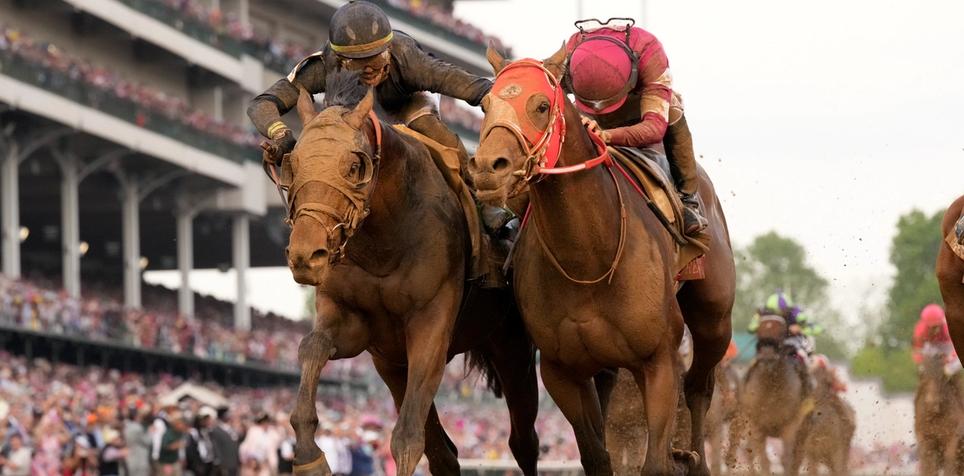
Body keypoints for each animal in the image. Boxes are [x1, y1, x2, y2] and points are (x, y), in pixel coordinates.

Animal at [280, 71, 544, 476]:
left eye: (354, 166)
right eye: (292, 164)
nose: (306, 255)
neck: (383, 245)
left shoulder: (431, 325)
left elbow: (407, 437)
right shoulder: (359, 326)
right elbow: (312, 347)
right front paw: (310, 455)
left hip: (513, 349)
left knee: (523, 440)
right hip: (392, 365)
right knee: (444, 452)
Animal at [470, 42, 736, 474]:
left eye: (541, 105)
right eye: (485, 104)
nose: (488, 169)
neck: (587, 257)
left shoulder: (658, 361)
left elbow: (655, 460)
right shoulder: (561, 372)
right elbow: (596, 454)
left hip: (714, 318)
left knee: (699, 384)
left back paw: (695, 457)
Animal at [740, 316, 808, 476]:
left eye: (782, 332)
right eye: (759, 329)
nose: (767, 352)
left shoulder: (790, 426)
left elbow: (787, 460)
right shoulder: (756, 426)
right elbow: (764, 460)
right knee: (749, 452)